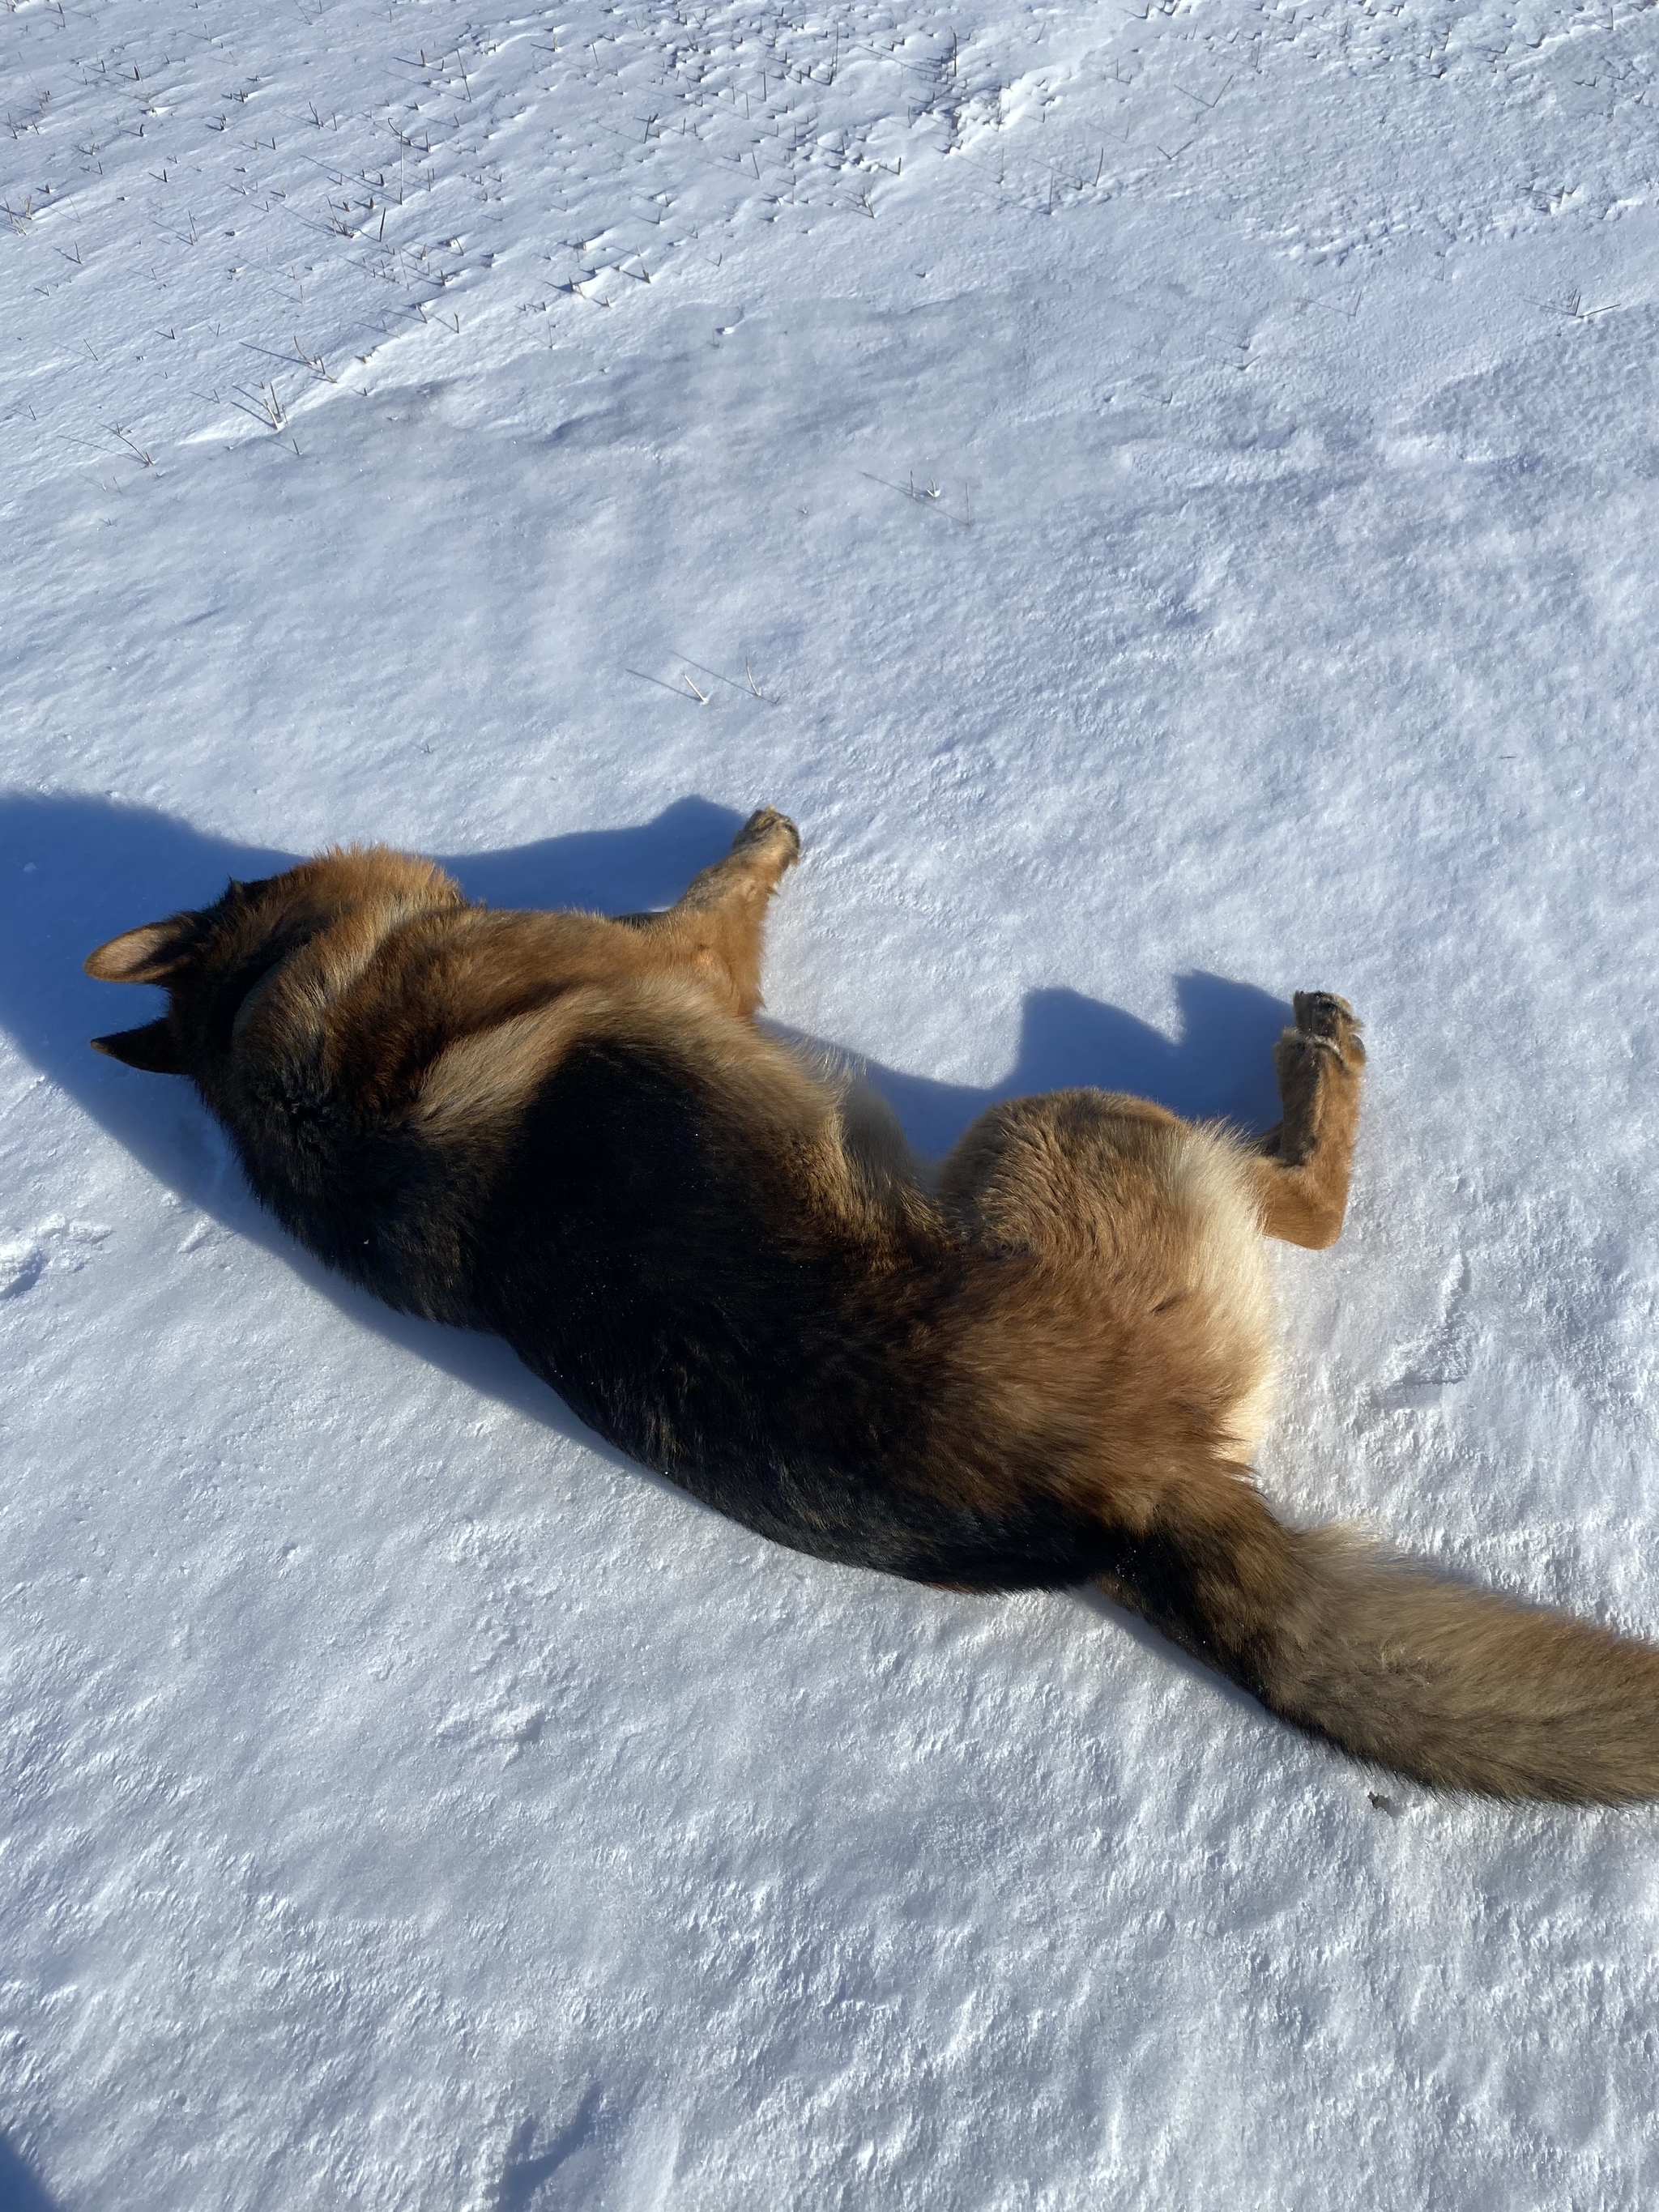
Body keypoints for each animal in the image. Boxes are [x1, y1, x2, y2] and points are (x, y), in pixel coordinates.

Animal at [84, 805, 1659, 1805]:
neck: (279, 1033)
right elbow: (708, 899)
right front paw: (762, 833)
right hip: (1056, 1125)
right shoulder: (673, 956)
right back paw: (1315, 1055)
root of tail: (1136, 1492)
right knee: (1308, 1205)